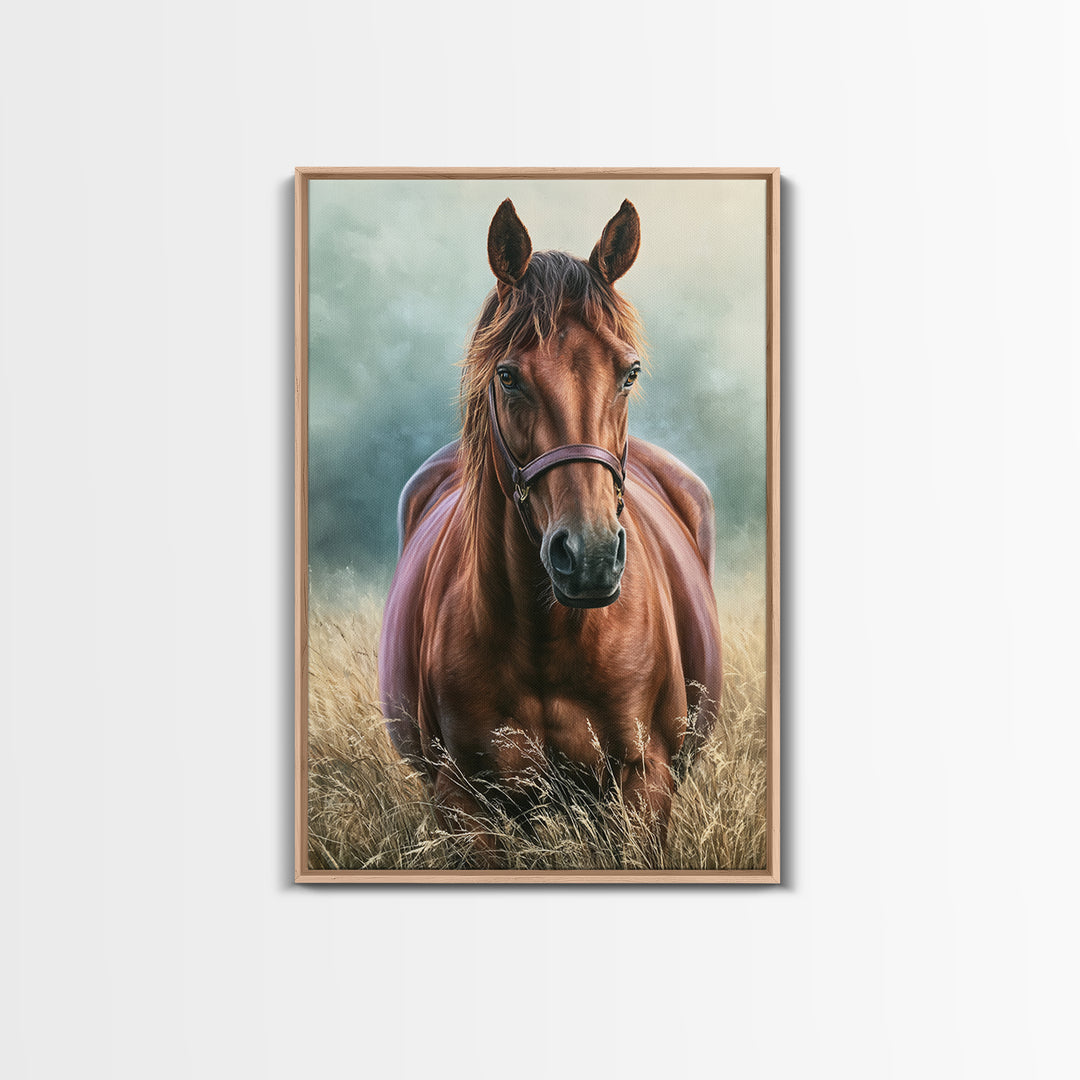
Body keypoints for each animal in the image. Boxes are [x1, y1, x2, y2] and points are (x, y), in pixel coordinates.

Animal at [378, 198, 722, 864]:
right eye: (508, 376)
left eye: (629, 372)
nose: (589, 557)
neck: (546, 640)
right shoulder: (464, 805)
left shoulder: (644, 786)